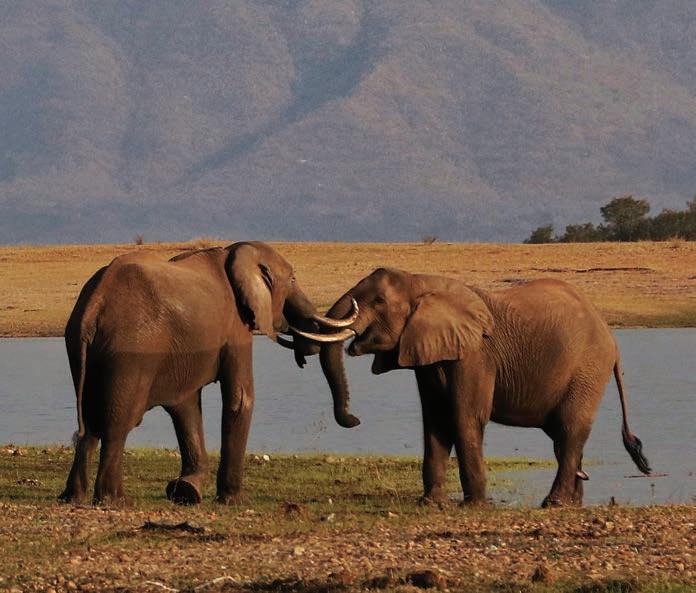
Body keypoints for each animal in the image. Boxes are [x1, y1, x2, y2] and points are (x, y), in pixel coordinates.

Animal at [59, 241, 357, 505]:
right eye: (293, 278)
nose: (354, 421)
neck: (234, 254)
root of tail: (94, 307)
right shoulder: (236, 327)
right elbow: (240, 399)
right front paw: (235, 501)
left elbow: (186, 405)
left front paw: (186, 492)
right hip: (131, 351)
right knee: (117, 423)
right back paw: (116, 501)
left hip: (80, 347)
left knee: (89, 423)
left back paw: (73, 497)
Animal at [291, 268, 651, 507]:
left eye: (379, 301)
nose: (354, 420)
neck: (423, 281)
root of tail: (611, 336)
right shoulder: (429, 352)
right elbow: (436, 420)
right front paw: (431, 505)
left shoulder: (476, 354)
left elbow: (464, 418)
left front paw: (474, 506)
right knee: (562, 437)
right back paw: (573, 503)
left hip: (588, 368)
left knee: (570, 429)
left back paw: (554, 504)